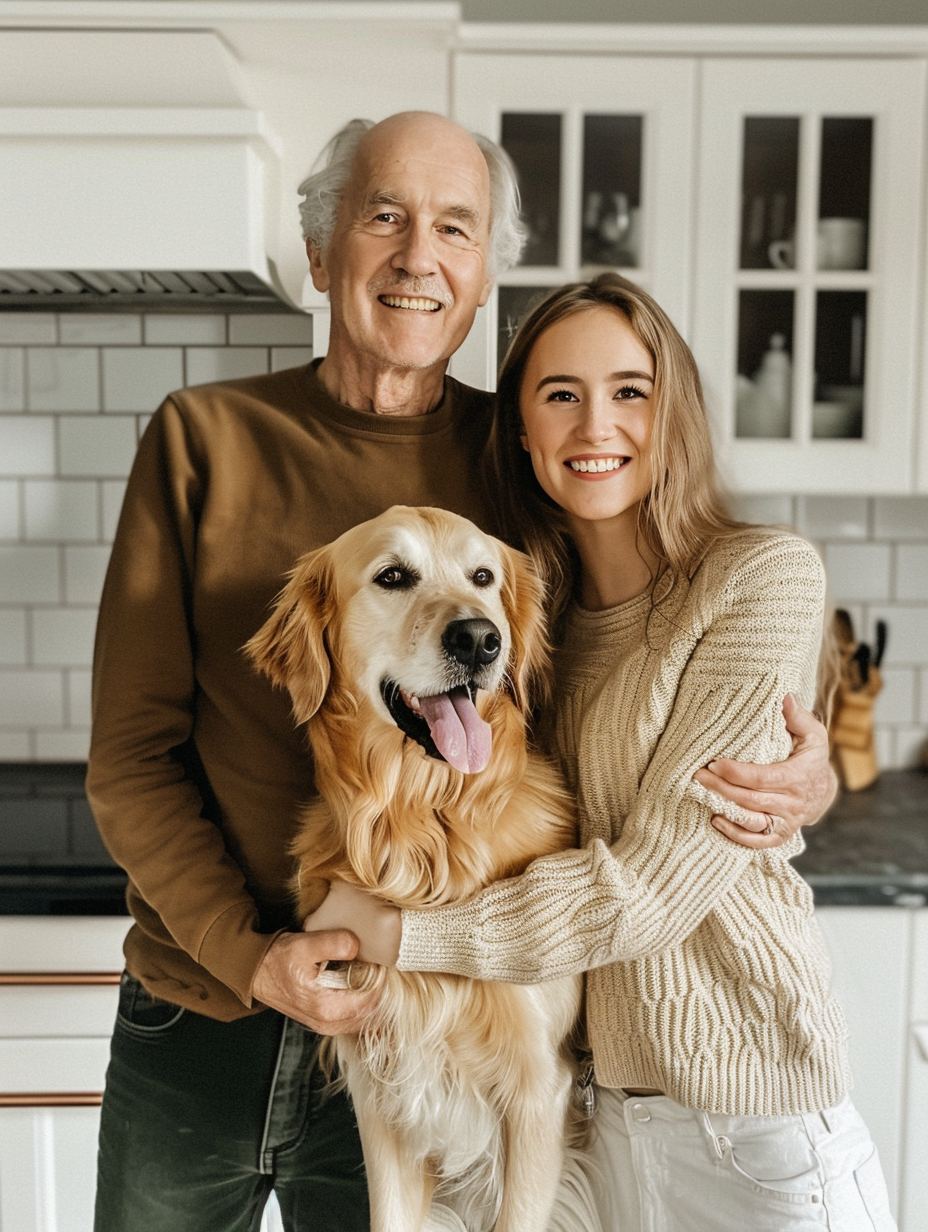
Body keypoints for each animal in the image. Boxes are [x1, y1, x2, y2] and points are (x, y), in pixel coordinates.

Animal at [246, 502, 586, 1232]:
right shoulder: (381, 1094)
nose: (480, 640)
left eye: (483, 577)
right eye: (393, 576)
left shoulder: (539, 1092)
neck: (425, 824)